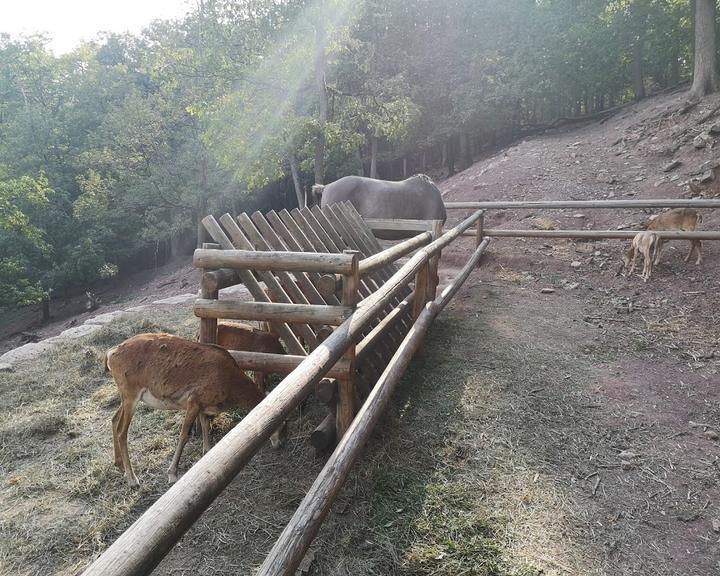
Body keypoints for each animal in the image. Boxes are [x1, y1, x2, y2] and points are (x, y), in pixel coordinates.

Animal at [107, 332, 286, 486]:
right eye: (282, 422)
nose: (280, 445)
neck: (230, 383)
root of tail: (110, 354)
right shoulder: (193, 400)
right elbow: (184, 435)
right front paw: (172, 474)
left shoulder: (203, 405)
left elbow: (205, 426)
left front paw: (206, 452)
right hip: (131, 394)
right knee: (122, 431)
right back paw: (132, 479)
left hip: (126, 396)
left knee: (114, 419)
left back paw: (120, 465)